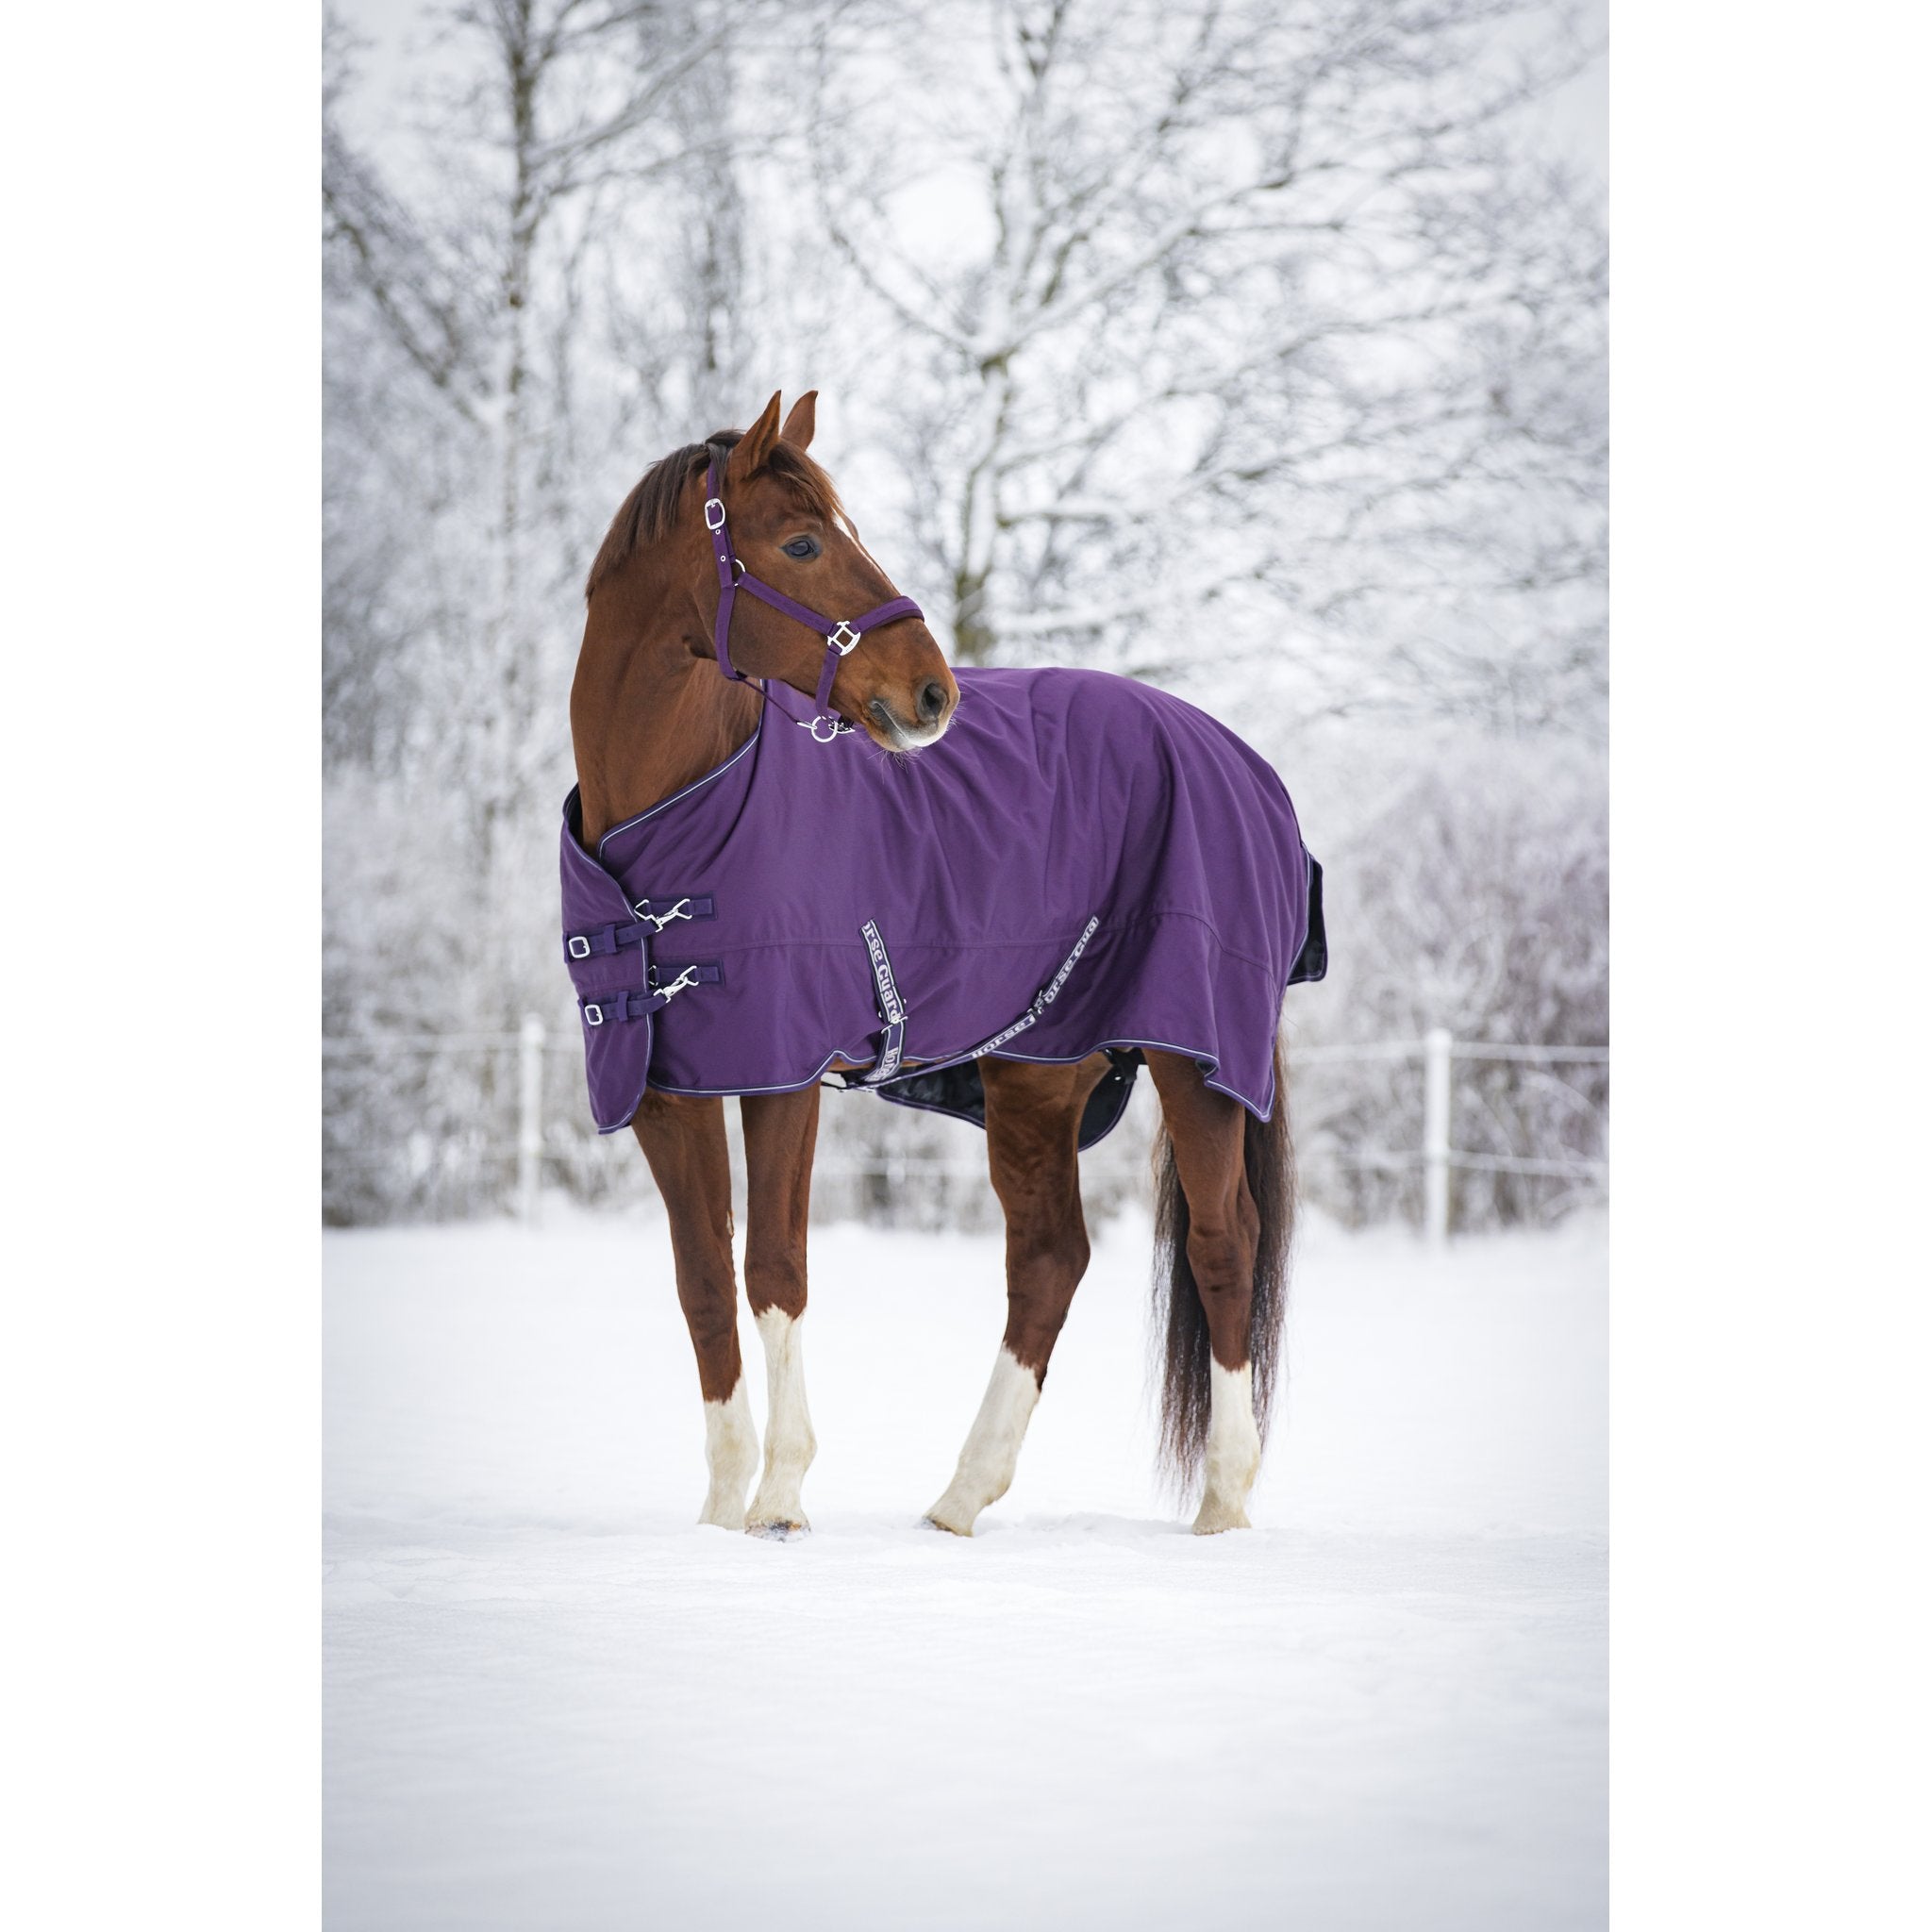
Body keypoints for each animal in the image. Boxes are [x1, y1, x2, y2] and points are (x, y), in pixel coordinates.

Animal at [565, 390, 1320, 1537]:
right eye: (800, 542)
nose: (932, 692)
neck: (679, 819)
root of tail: (1250, 770)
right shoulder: (664, 1088)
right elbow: (703, 1280)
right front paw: (721, 1510)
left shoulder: (783, 1073)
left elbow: (772, 1267)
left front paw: (779, 1499)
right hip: (1038, 1074)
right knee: (1049, 1256)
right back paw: (962, 1497)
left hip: (1197, 1058)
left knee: (1221, 1243)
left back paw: (1223, 1504)